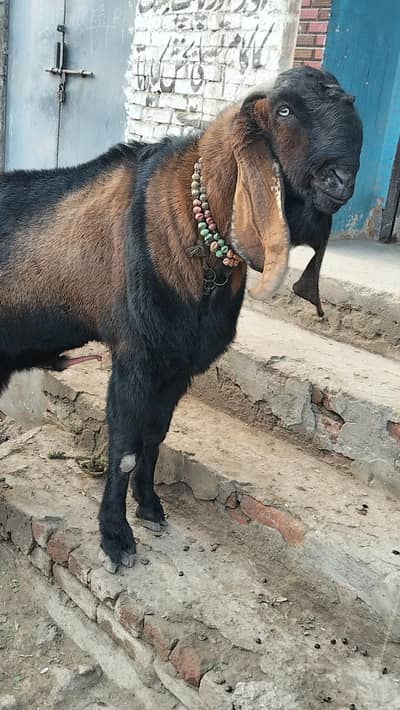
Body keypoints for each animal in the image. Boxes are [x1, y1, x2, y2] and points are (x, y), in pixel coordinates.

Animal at [0, 66, 362, 572]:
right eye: (285, 110)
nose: (341, 180)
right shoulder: (136, 355)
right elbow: (126, 448)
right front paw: (115, 539)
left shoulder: (178, 366)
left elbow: (155, 437)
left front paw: (151, 509)